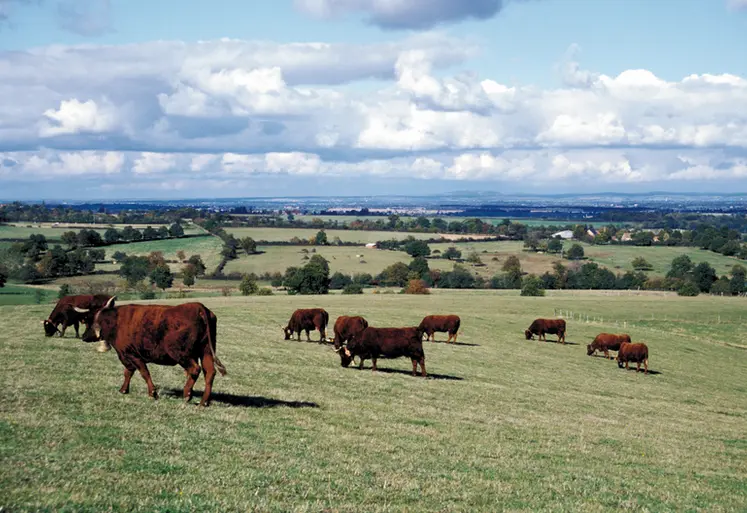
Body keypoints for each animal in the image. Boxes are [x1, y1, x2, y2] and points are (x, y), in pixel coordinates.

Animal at [80, 297, 227, 407]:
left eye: (89, 321)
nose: (83, 337)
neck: (116, 322)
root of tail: (197, 306)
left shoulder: (132, 355)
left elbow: (144, 373)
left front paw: (153, 393)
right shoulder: (128, 357)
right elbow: (128, 373)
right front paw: (123, 390)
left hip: (181, 354)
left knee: (195, 369)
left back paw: (187, 394)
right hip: (206, 352)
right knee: (209, 373)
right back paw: (203, 402)